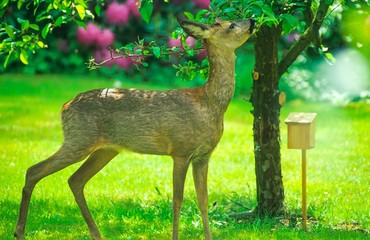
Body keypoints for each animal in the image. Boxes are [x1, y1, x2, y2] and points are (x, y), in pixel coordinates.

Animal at [13, 15, 254, 239]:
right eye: (231, 25)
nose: (252, 20)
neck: (209, 104)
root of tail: (65, 106)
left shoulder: (204, 156)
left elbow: (203, 200)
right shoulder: (180, 151)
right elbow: (178, 201)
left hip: (105, 149)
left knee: (75, 180)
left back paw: (96, 234)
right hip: (79, 139)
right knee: (33, 170)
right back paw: (20, 232)